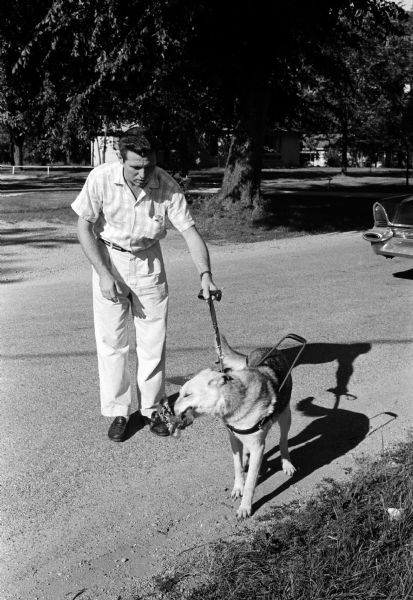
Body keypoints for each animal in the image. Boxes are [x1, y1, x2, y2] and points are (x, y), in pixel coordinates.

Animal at [172, 336, 294, 516]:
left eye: (187, 395)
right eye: (180, 394)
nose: (172, 410)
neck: (236, 400)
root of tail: (269, 348)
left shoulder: (258, 447)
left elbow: (250, 482)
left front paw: (245, 507)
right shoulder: (233, 439)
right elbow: (237, 467)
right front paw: (238, 487)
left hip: (285, 417)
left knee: (283, 441)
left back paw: (286, 463)